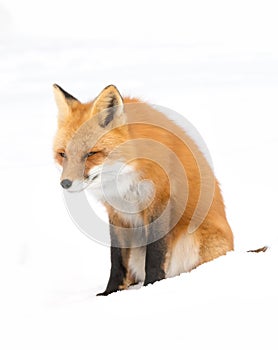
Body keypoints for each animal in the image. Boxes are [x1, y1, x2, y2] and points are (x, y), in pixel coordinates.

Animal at [52, 85, 235, 296]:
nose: (65, 183)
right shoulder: (117, 213)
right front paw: (110, 292)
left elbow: (155, 253)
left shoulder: (158, 201)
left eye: (91, 154)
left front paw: (152, 285)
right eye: (63, 154)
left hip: (194, 239)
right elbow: (116, 259)